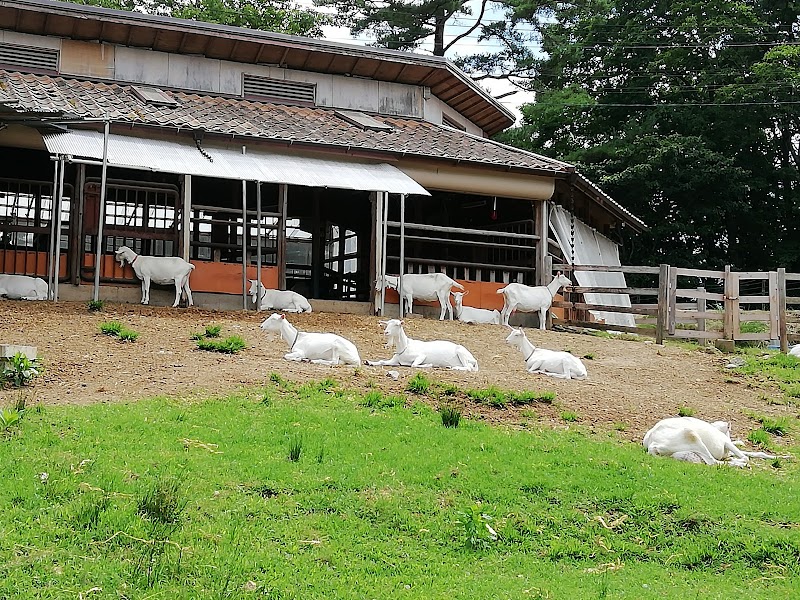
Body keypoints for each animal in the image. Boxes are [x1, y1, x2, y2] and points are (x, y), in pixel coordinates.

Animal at [640, 418, 784, 468]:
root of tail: (652, 444)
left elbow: (757, 453)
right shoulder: (727, 443)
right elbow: (745, 456)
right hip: (693, 437)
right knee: (713, 462)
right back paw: (741, 464)